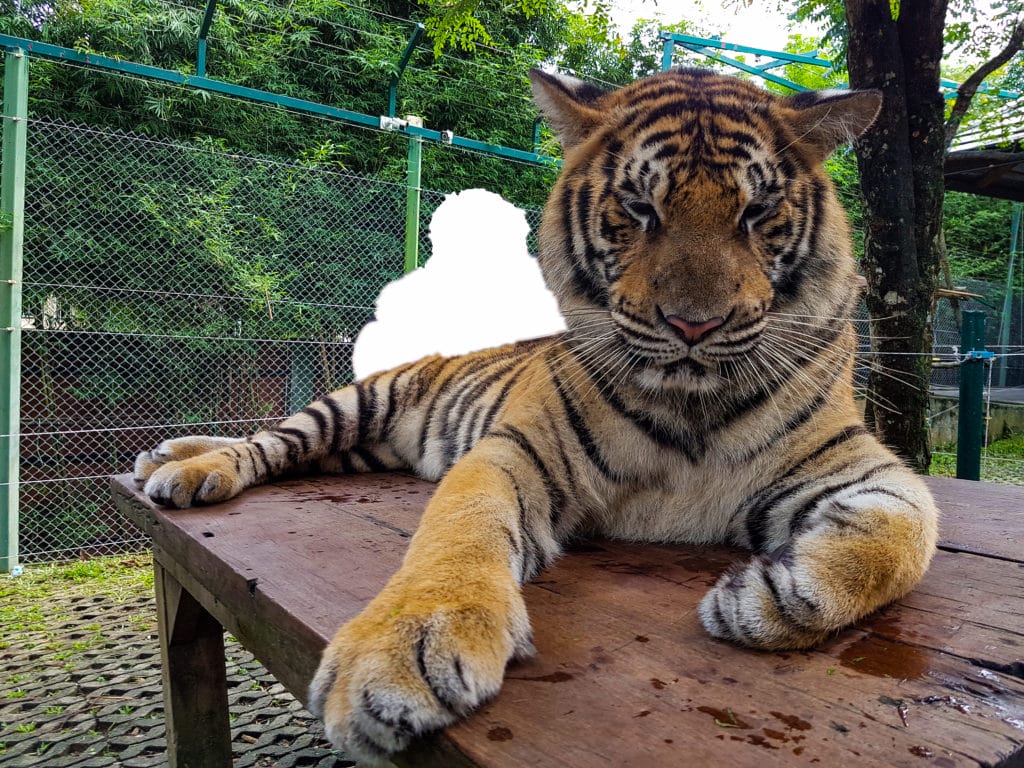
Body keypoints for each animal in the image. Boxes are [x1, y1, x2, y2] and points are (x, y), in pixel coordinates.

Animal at [134, 67, 939, 763]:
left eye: (756, 212)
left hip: (359, 449)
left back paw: (169, 454)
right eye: (640, 210)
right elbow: (458, 533)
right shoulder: (515, 451)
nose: (694, 325)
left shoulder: (858, 463)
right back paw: (188, 468)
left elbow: (901, 539)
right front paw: (398, 656)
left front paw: (771, 600)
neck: (689, 402)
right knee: (271, 441)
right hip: (355, 403)